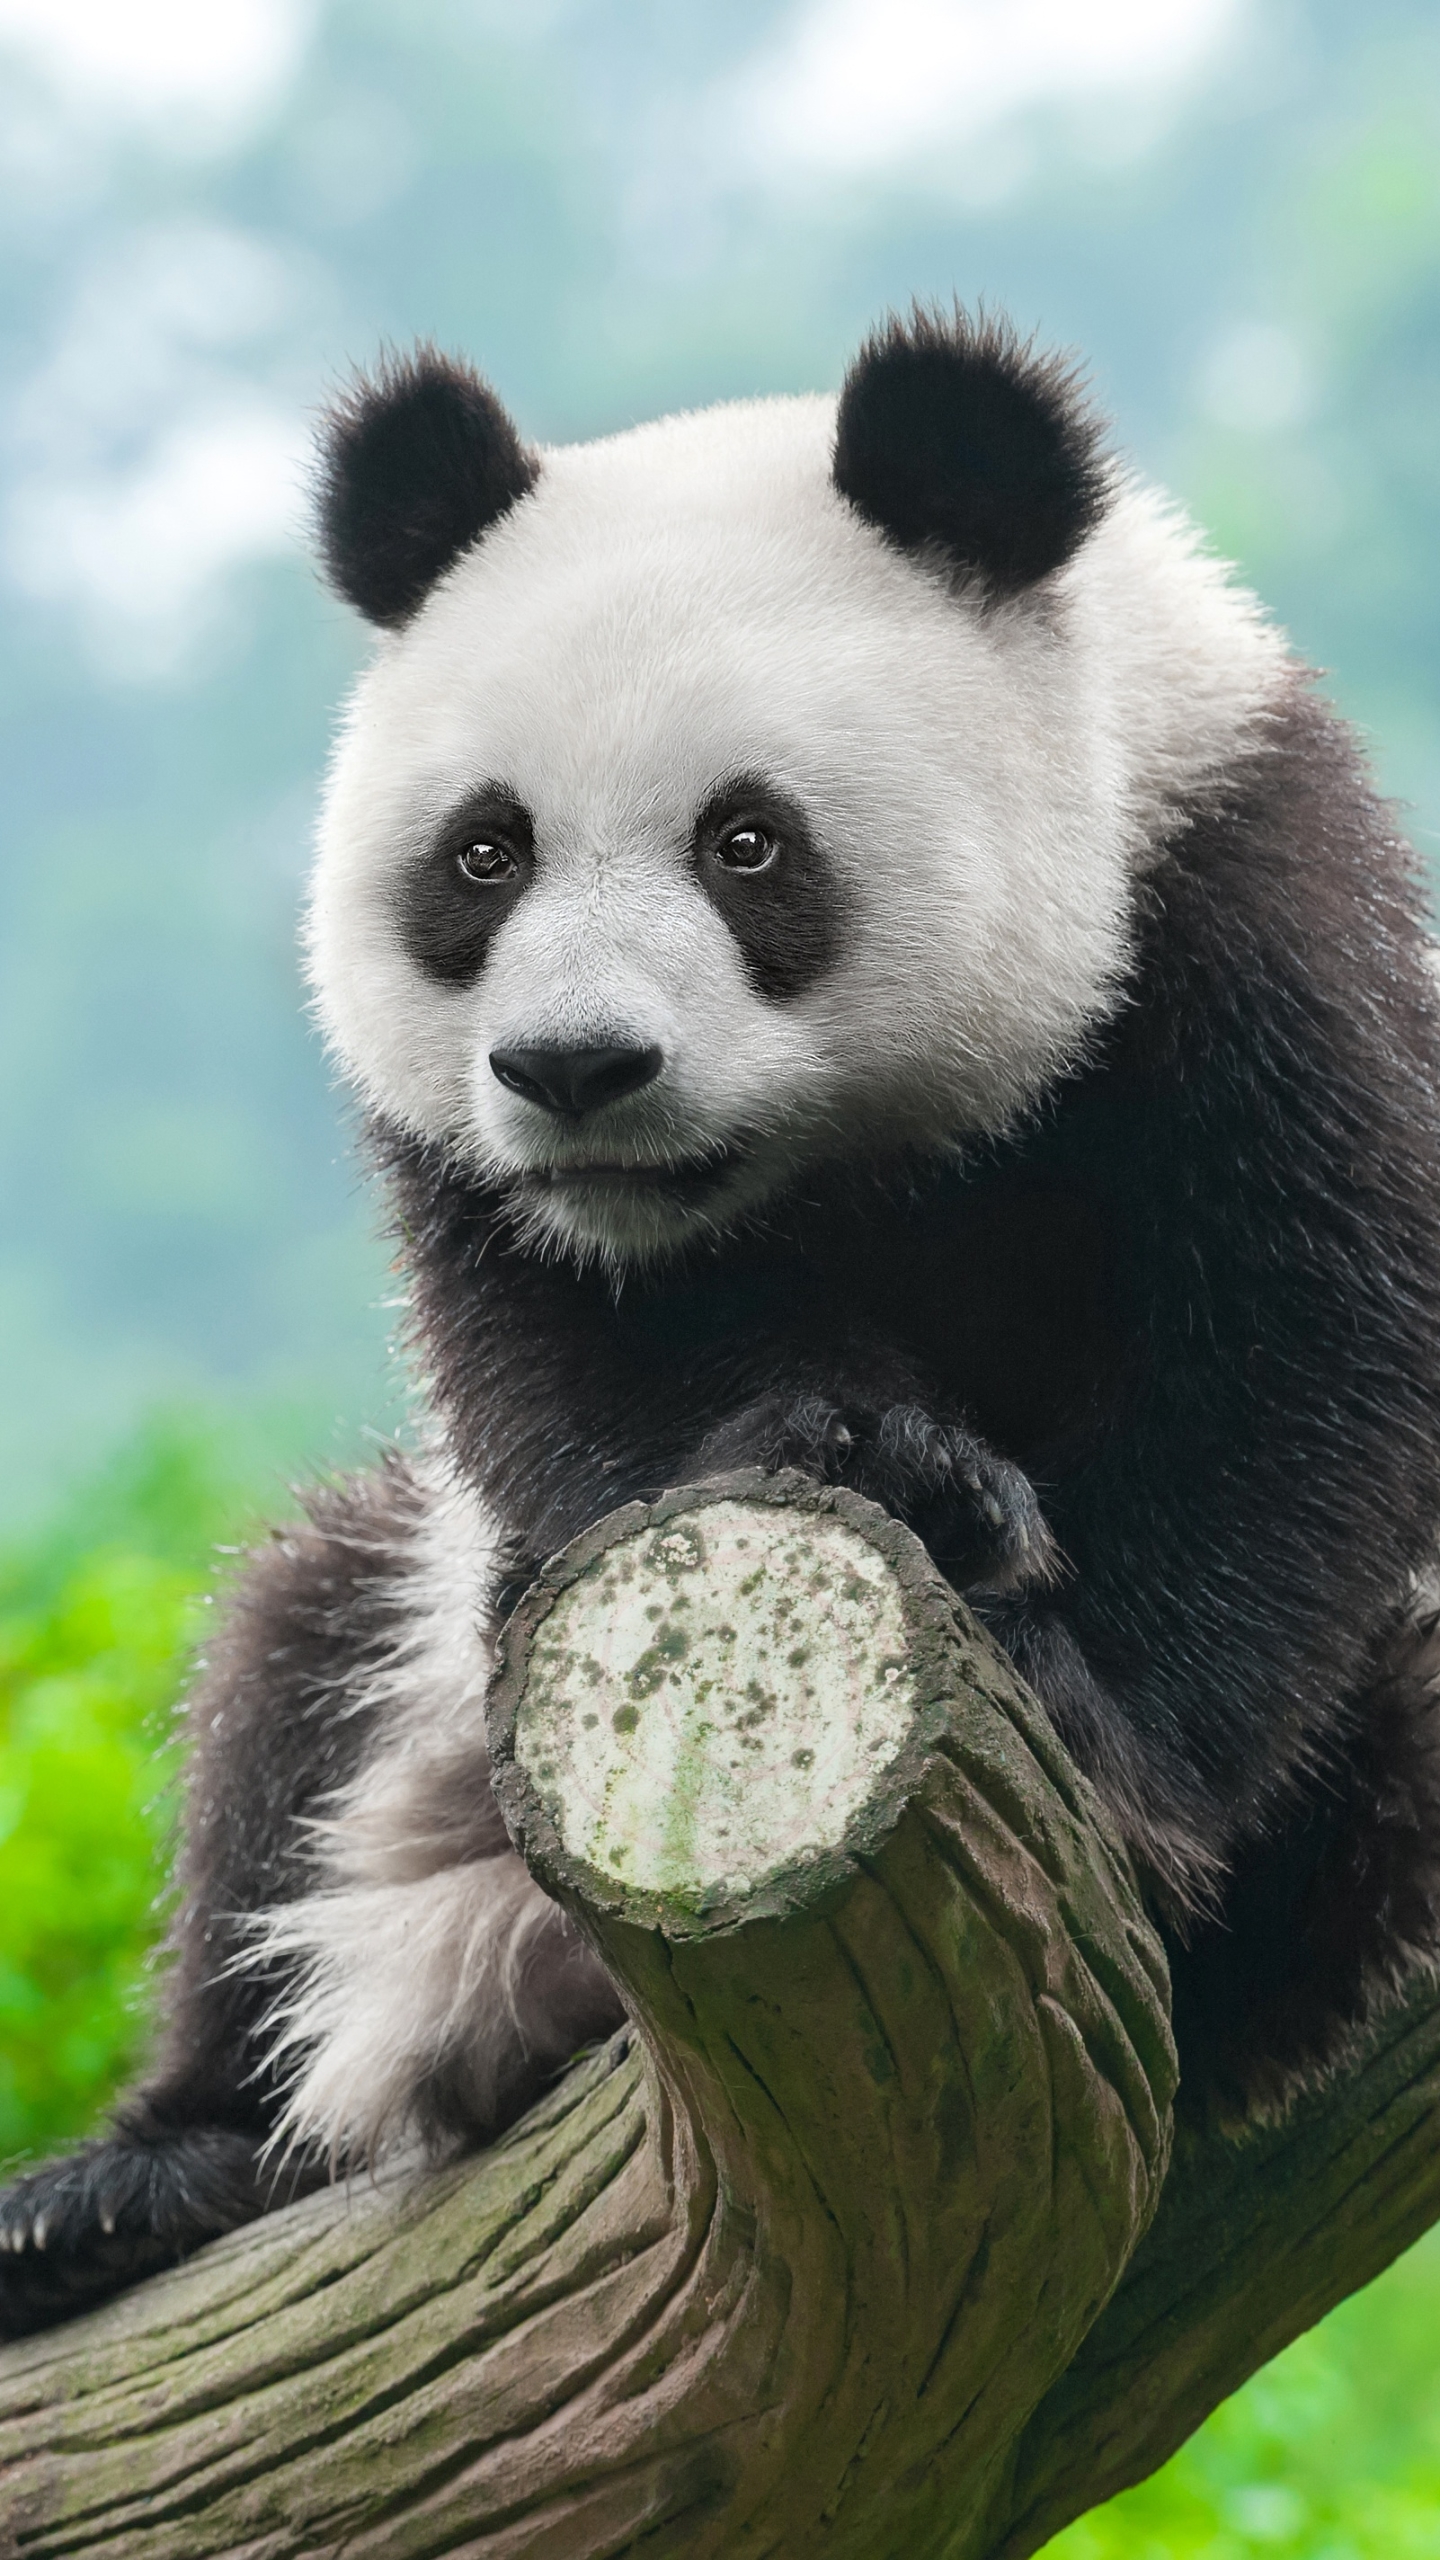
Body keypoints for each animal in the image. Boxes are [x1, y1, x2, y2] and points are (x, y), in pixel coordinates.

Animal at [6, 305, 1440, 2338]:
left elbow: (1299, 1360)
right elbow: (588, 1367)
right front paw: (869, 1450)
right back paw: (136, 2180)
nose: (575, 1068)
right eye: (485, 854)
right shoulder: (501, 1204)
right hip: (413, 1669)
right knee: (285, 1678)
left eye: (748, 844)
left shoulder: (1239, 910)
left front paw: (1089, 1716)